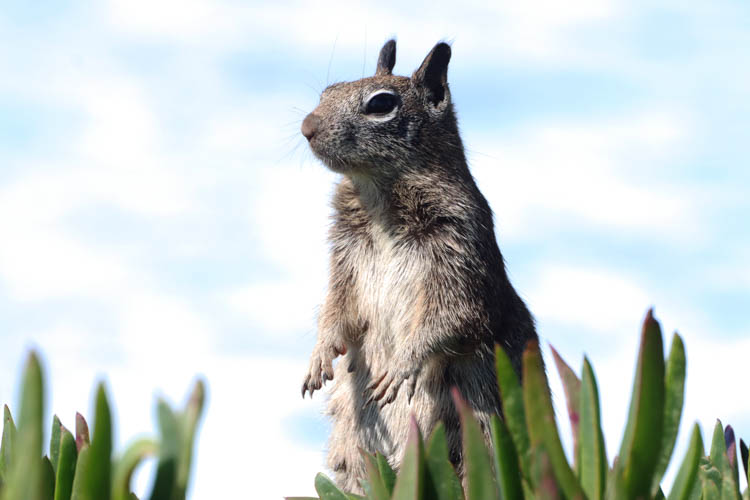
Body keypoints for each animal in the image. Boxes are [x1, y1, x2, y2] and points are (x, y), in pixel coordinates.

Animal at [300, 38, 540, 492]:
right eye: (327, 91)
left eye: (381, 104)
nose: (307, 127)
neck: (378, 201)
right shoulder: (344, 262)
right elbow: (336, 310)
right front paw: (319, 356)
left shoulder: (459, 254)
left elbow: (450, 319)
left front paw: (400, 366)